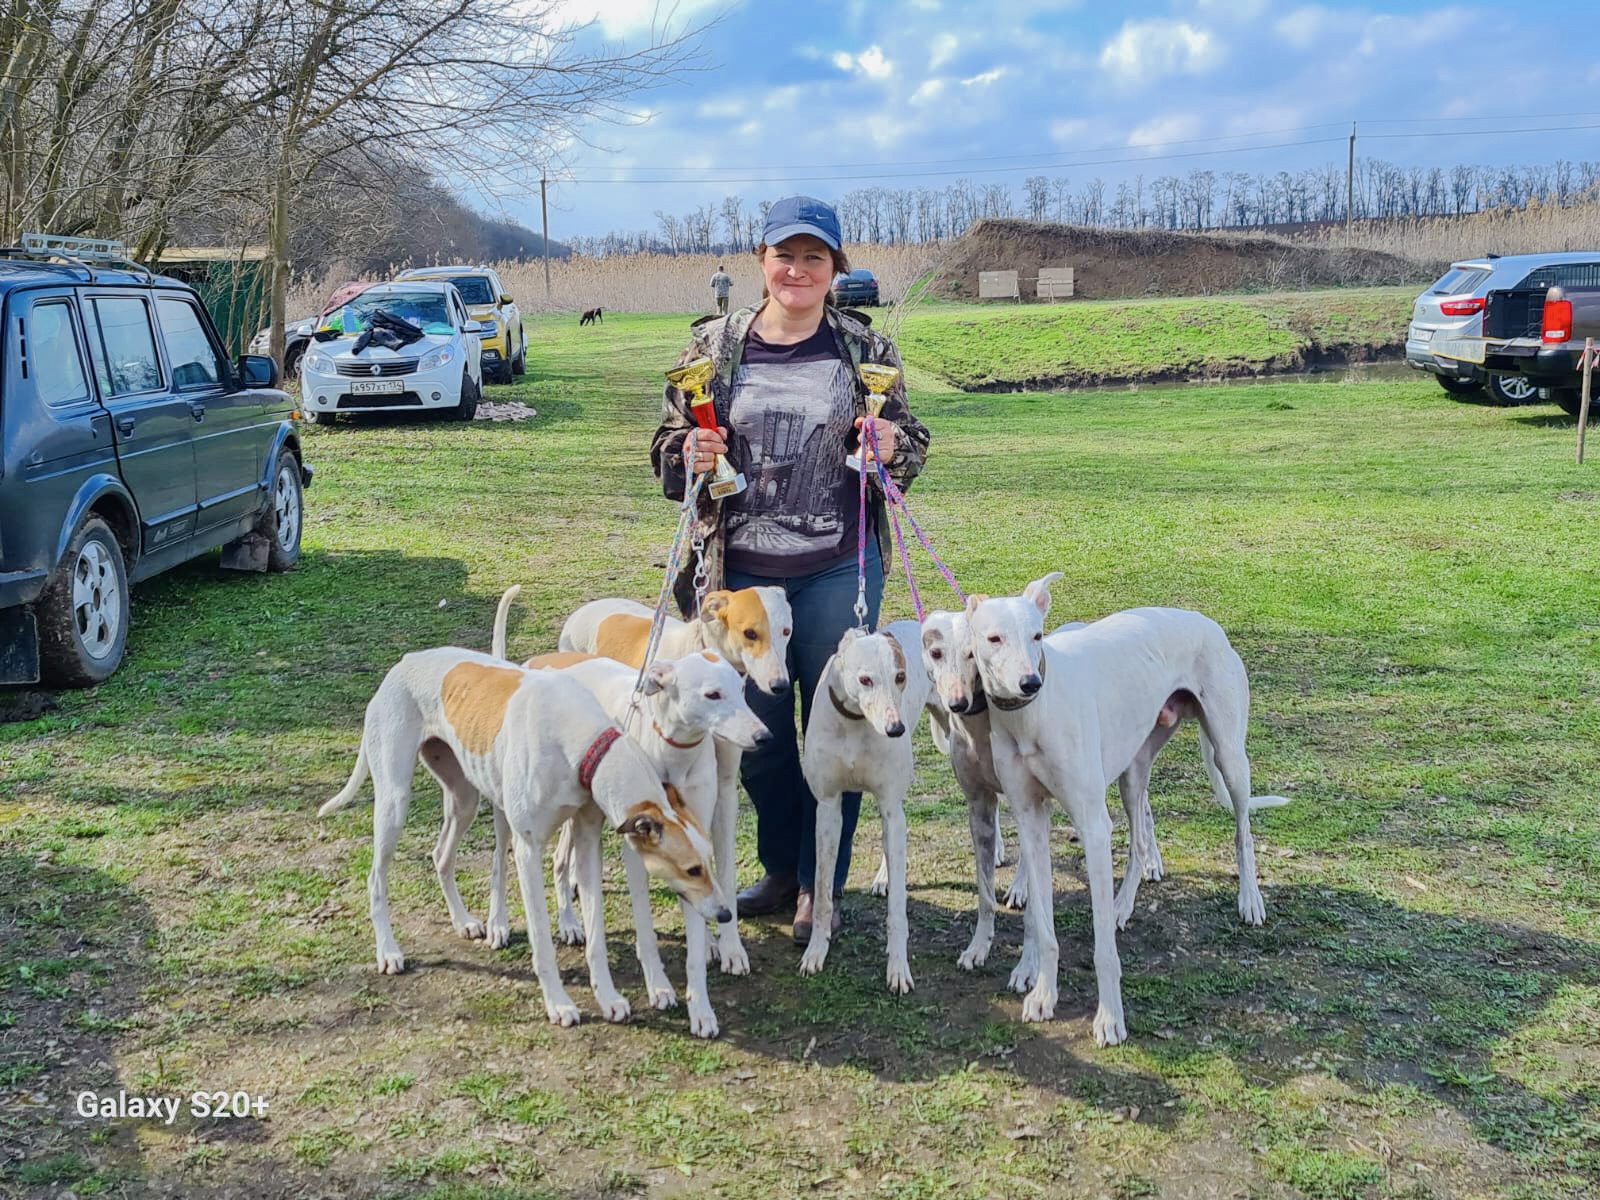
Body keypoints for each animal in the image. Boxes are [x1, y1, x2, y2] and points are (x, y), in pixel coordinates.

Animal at [318, 652, 732, 1030]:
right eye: (692, 869)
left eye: (710, 862)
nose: (725, 914)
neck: (578, 737)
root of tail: (405, 661)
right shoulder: (529, 849)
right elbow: (542, 941)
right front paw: (560, 1004)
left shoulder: (587, 841)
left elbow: (596, 937)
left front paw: (609, 998)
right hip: (395, 801)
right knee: (376, 877)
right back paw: (389, 951)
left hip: (464, 798)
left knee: (440, 855)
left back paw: (464, 920)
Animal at [796, 620, 928, 998]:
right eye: (865, 680)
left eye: (901, 676)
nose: (895, 729)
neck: (856, 723)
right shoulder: (827, 807)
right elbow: (822, 893)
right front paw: (815, 951)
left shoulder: (889, 805)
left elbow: (898, 909)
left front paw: (898, 968)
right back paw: (883, 877)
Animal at [960, 579, 1286, 1049]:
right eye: (993, 638)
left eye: (1037, 636)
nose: (1029, 683)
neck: (1034, 716)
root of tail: (1206, 622)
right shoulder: (1030, 818)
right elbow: (1045, 925)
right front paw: (1043, 995)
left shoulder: (1093, 826)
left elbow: (1103, 952)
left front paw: (1110, 1019)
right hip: (1134, 769)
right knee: (1139, 841)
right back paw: (1121, 906)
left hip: (1229, 755)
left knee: (1242, 830)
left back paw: (1250, 900)